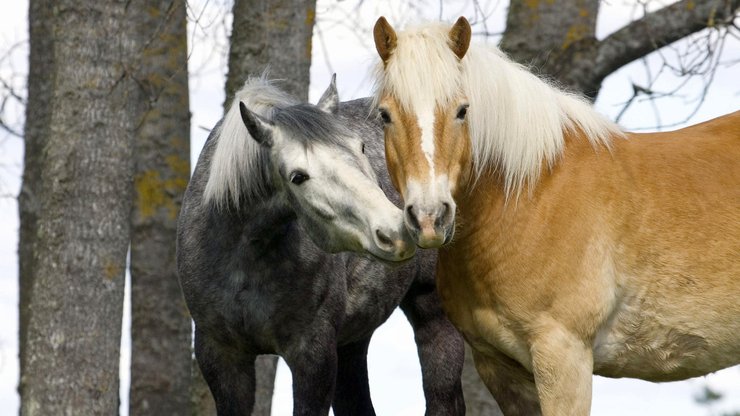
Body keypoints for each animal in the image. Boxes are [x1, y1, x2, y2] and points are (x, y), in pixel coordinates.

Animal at [176, 75, 462, 416]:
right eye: (298, 176)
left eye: (360, 147)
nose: (396, 232)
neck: (244, 257)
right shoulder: (221, 357)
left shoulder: (313, 355)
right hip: (352, 342)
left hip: (434, 316)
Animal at [372, 16, 740, 416]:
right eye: (385, 115)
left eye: (462, 110)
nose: (429, 217)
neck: (531, 194)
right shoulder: (500, 368)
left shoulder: (563, 355)